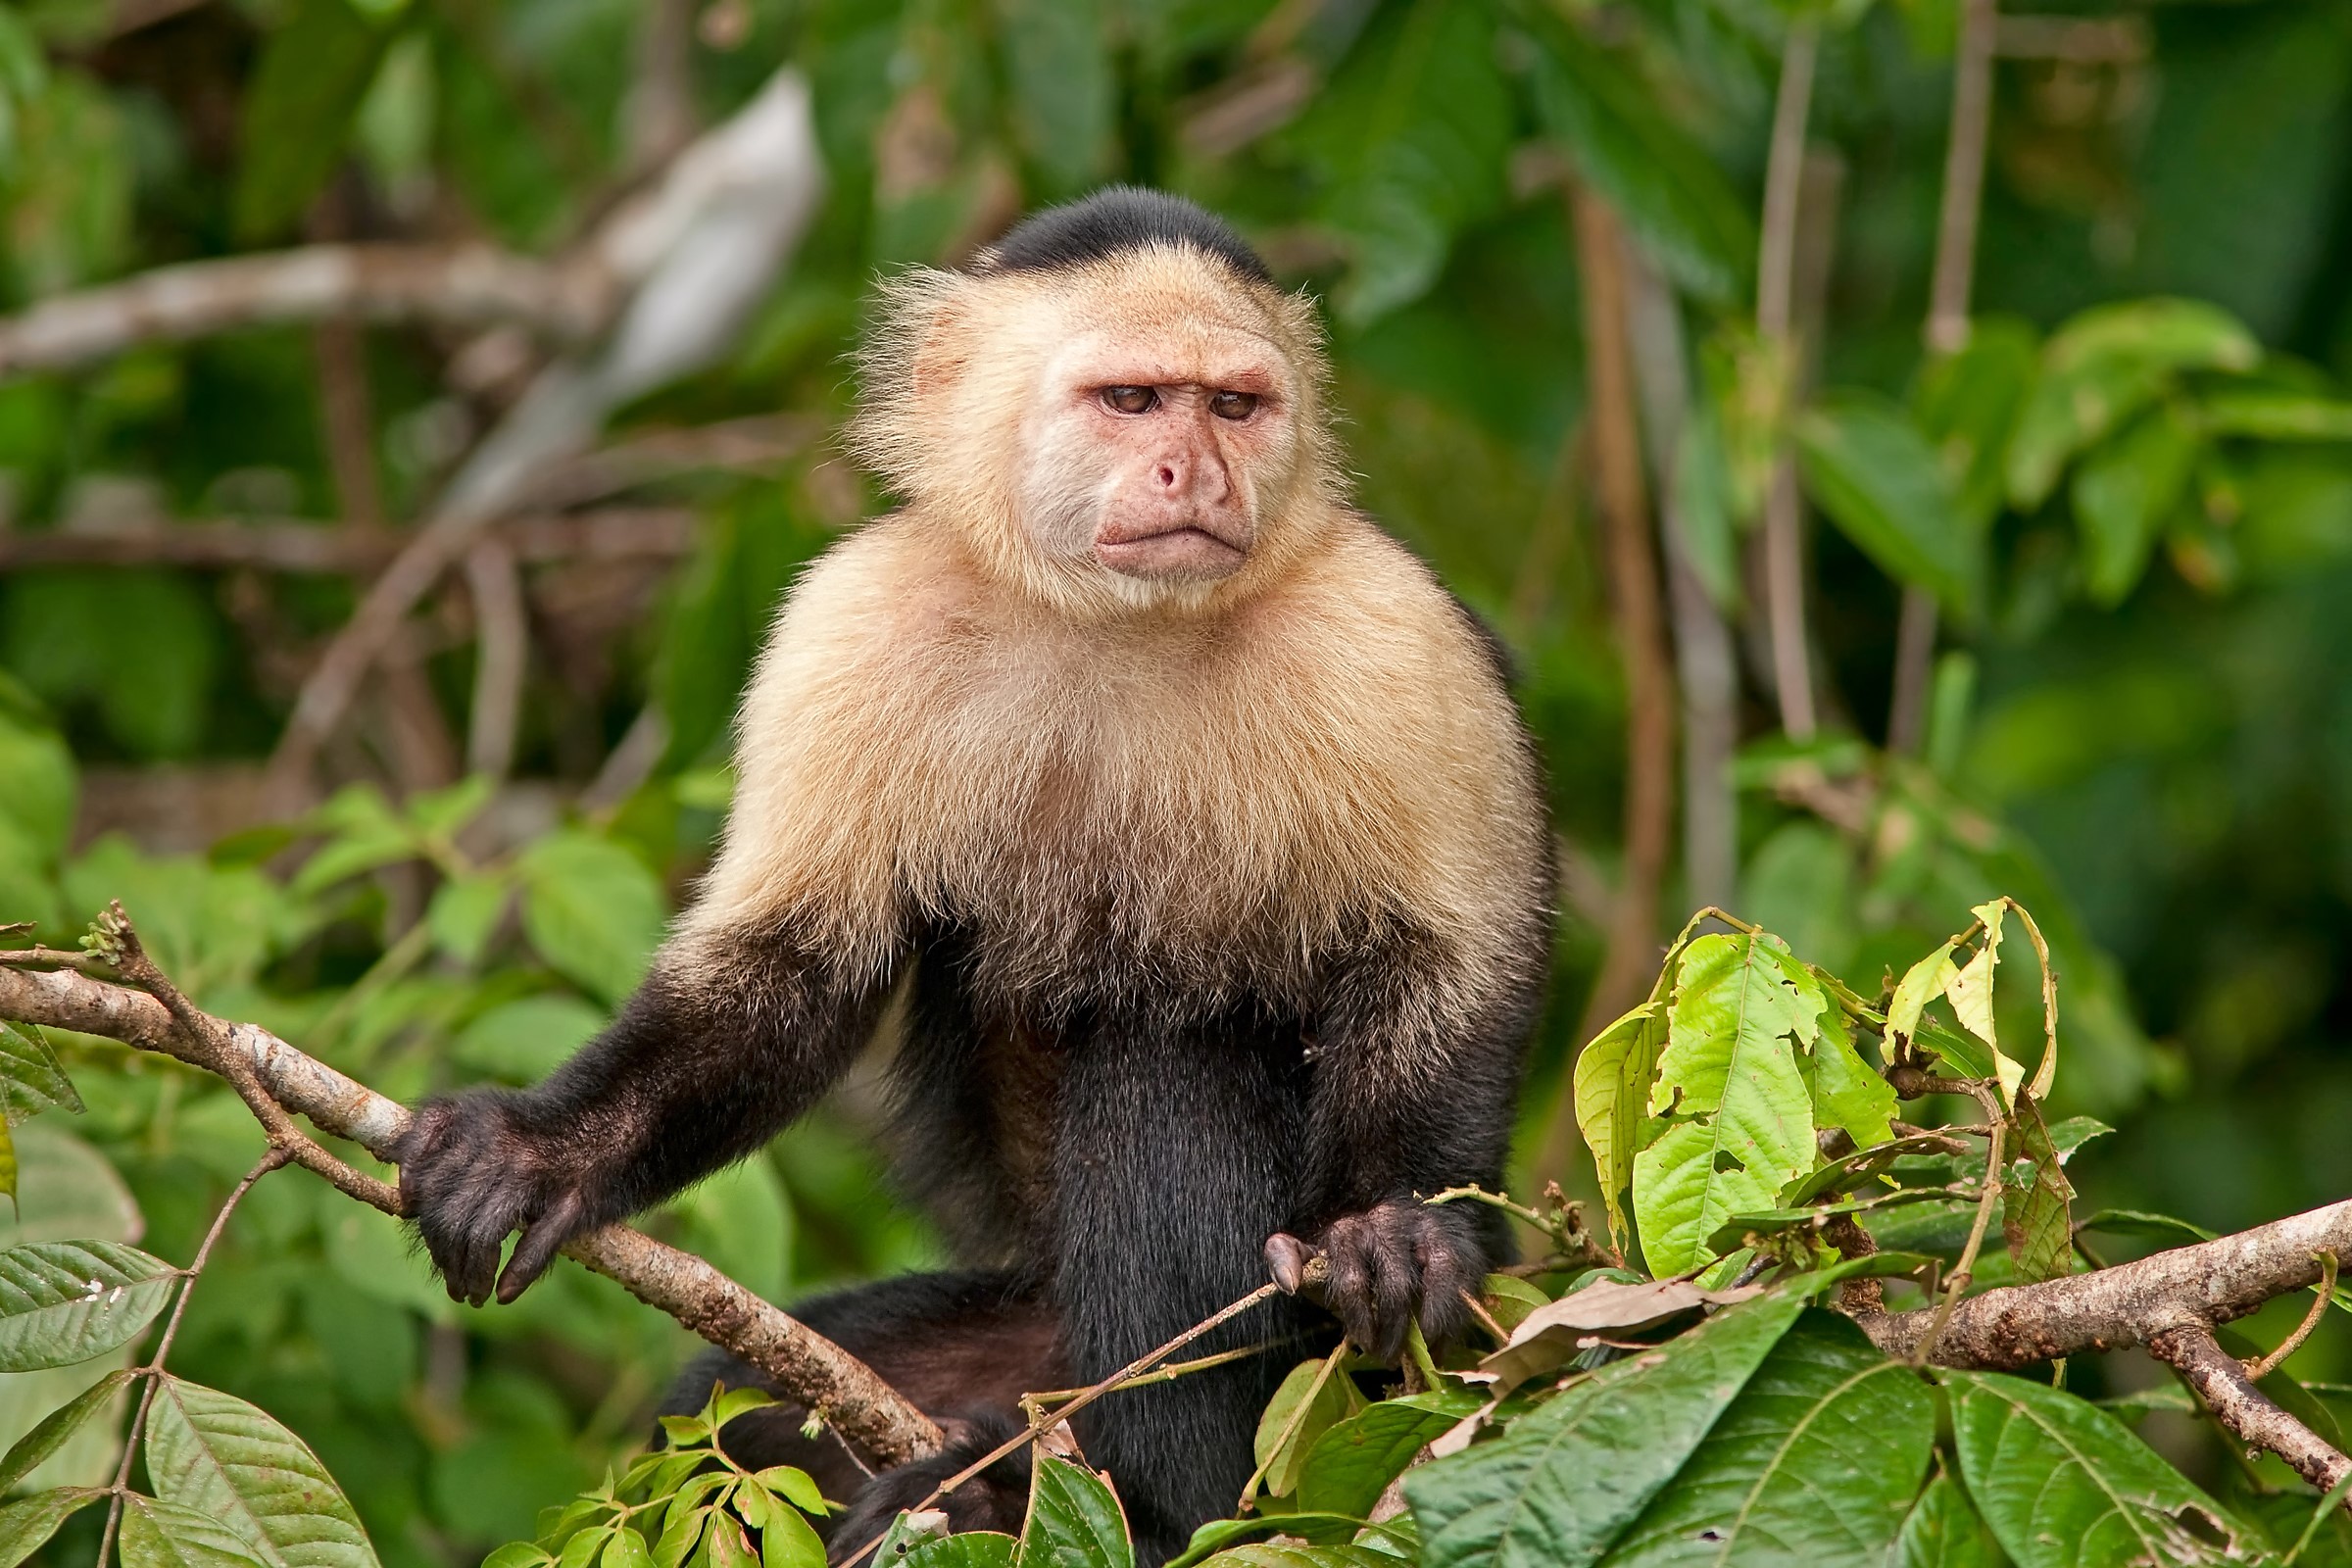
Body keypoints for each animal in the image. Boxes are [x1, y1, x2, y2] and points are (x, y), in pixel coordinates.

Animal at [396, 186, 1555, 1565]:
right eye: (1130, 401)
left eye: (1234, 406)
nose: (1199, 471)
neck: (1117, 621)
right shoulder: (848, 620)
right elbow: (789, 973)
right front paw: (544, 1150)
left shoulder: (1391, 630)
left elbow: (1455, 959)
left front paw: (1397, 1232)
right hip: (1018, 1332)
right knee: (736, 1407)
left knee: (1163, 1062)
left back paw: (1147, 1503)